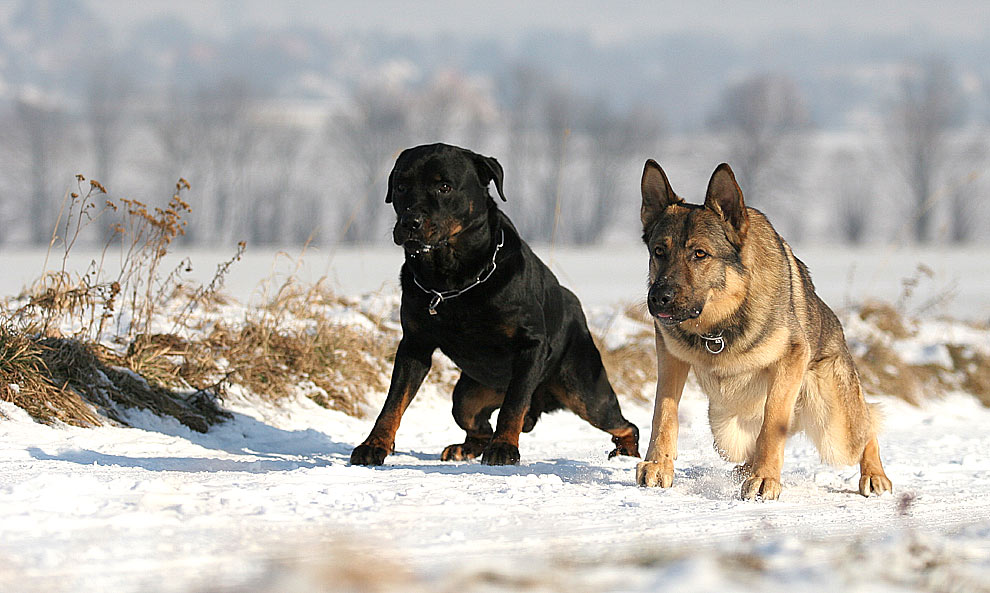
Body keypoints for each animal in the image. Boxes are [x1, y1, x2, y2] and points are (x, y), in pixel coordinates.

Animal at [348, 145, 644, 468]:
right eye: (401, 187)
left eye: (444, 186)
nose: (410, 222)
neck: (451, 279)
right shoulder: (415, 344)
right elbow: (393, 403)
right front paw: (373, 445)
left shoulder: (530, 346)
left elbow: (513, 405)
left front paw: (504, 448)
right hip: (468, 394)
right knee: (474, 421)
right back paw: (463, 448)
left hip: (582, 388)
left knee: (624, 423)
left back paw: (625, 454)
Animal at [640, 160, 896, 498]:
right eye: (659, 251)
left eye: (700, 254)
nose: (659, 298)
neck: (718, 328)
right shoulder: (670, 357)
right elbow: (664, 415)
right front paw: (658, 466)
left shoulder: (790, 361)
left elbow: (772, 424)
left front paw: (764, 478)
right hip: (726, 430)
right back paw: (743, 469)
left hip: (835, 430)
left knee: (868, 428)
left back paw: (875, 475)